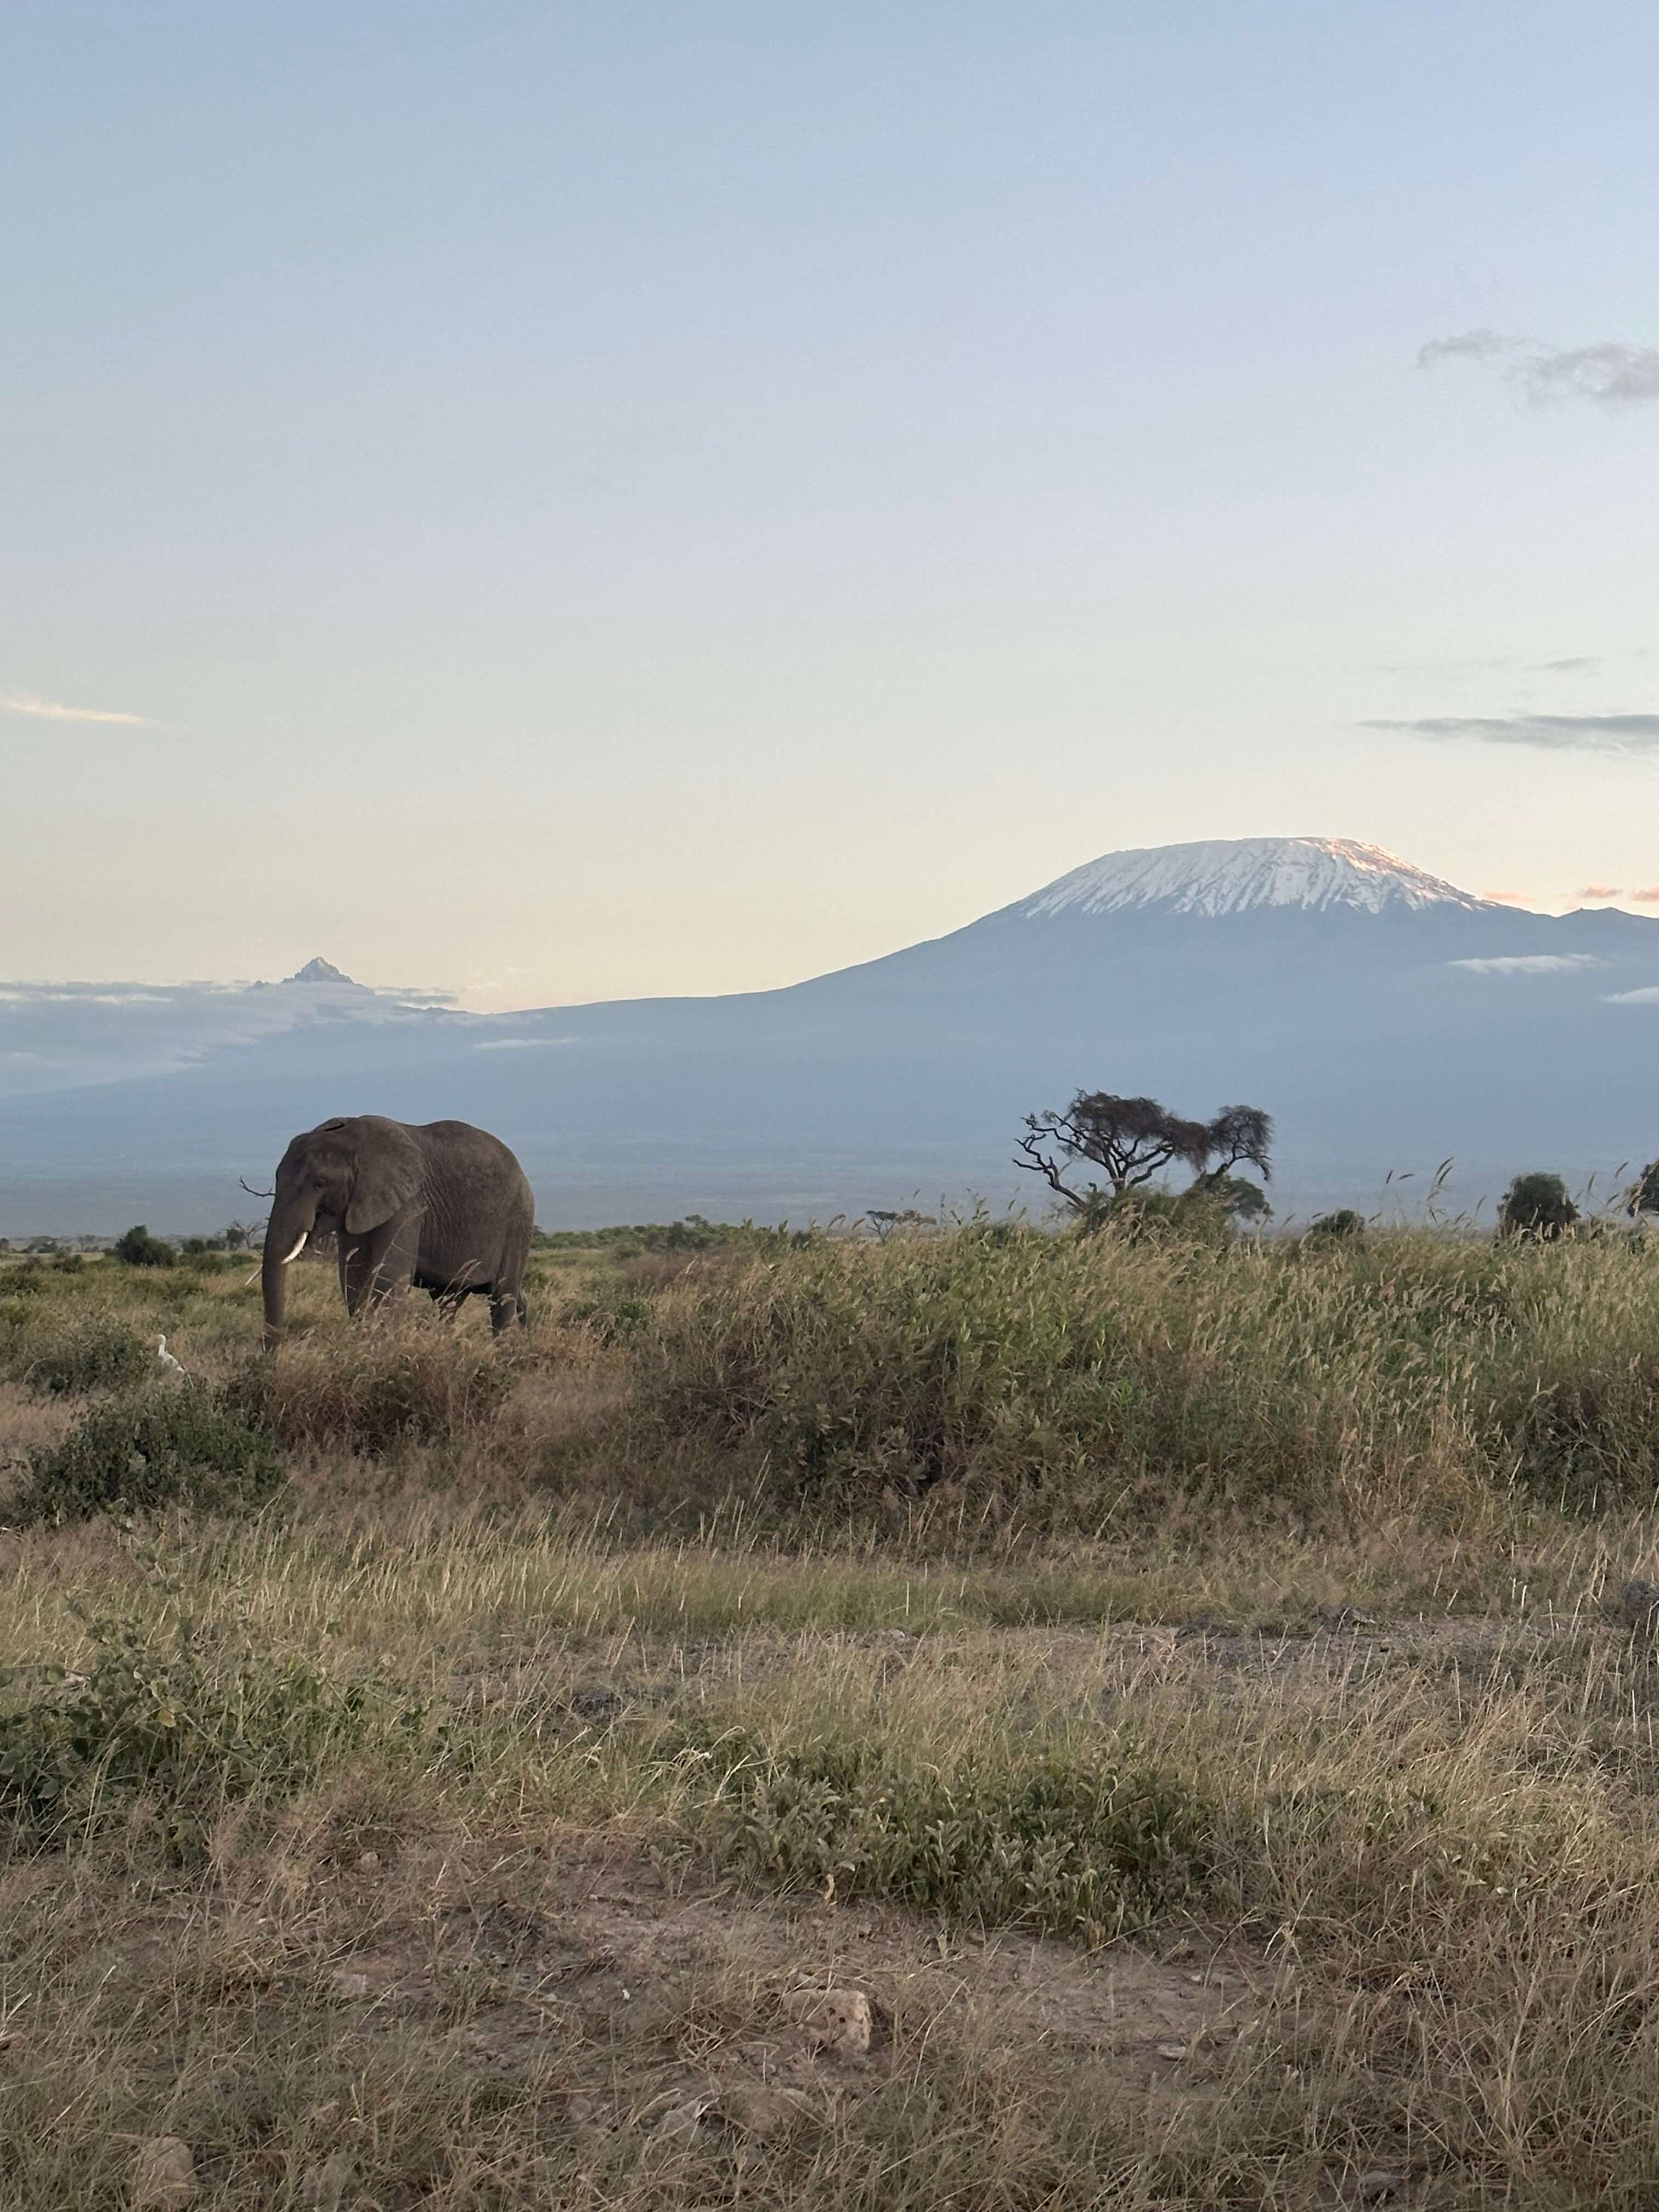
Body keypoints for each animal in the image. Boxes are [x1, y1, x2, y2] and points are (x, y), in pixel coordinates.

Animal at [261, 1114, 533, 1347]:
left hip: (518, 1220)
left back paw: (501, 1351)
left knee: (503, 1296)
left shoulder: (408, 1204)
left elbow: (389, 1277)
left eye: (320, 1184)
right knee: (450, 1300)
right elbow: (353, 1277)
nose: (272, 1352)